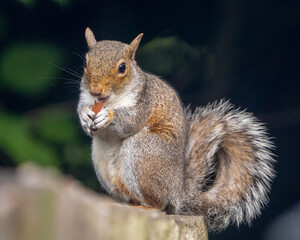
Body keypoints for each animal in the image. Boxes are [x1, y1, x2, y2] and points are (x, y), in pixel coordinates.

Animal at [77, 27, 274, 231]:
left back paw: (144, 207)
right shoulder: (85, 98)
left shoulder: (144, 103)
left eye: (122, 67)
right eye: (85, 62)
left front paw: (108, 116)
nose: (95, 90)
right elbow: (82, 110)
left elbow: (130, 122)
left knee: (159, 205)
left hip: (143, 152)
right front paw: (84, 115)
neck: (110, 101)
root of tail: (178, 193)